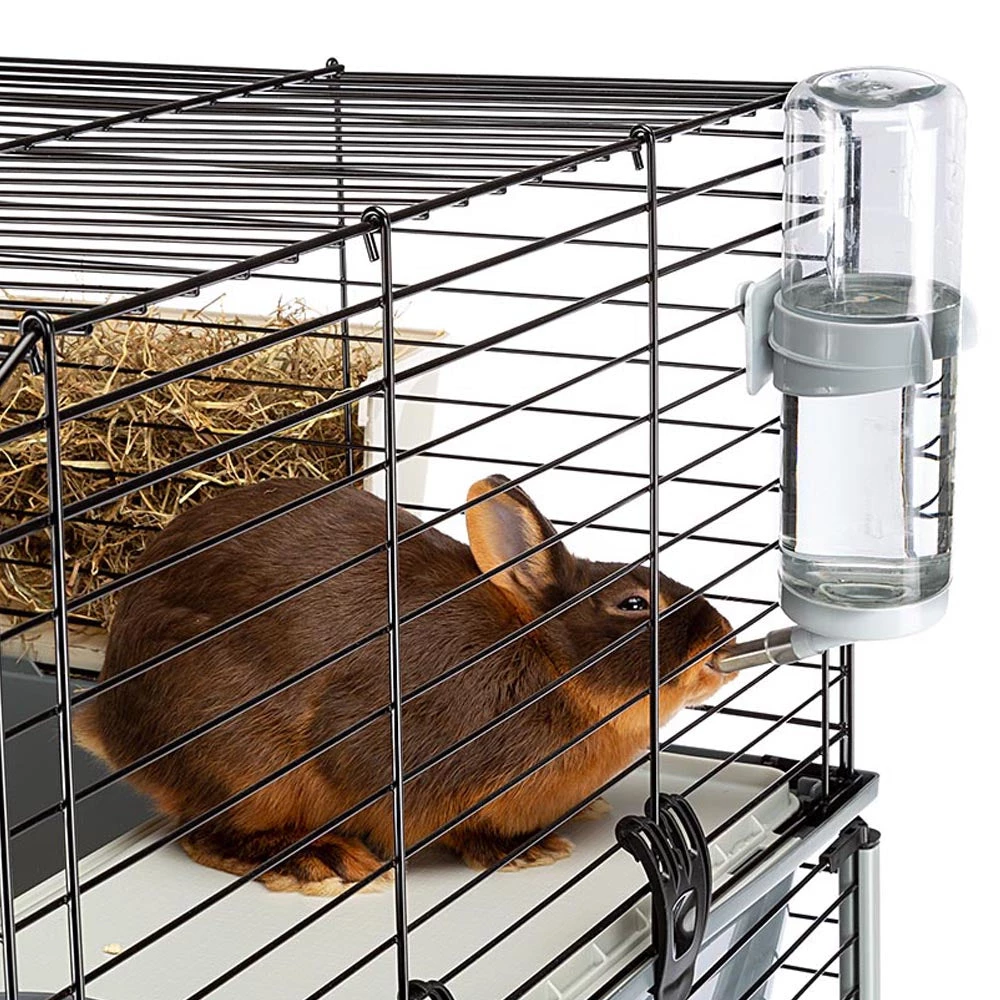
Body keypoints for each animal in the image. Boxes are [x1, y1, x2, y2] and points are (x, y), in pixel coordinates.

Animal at [75, 474, 736, 897]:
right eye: (633, 604)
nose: (723, 635)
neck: (547, 659)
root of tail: (105, 720)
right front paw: (522, 851)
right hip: (242, 762)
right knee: (207, 833)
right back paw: (322, 862)